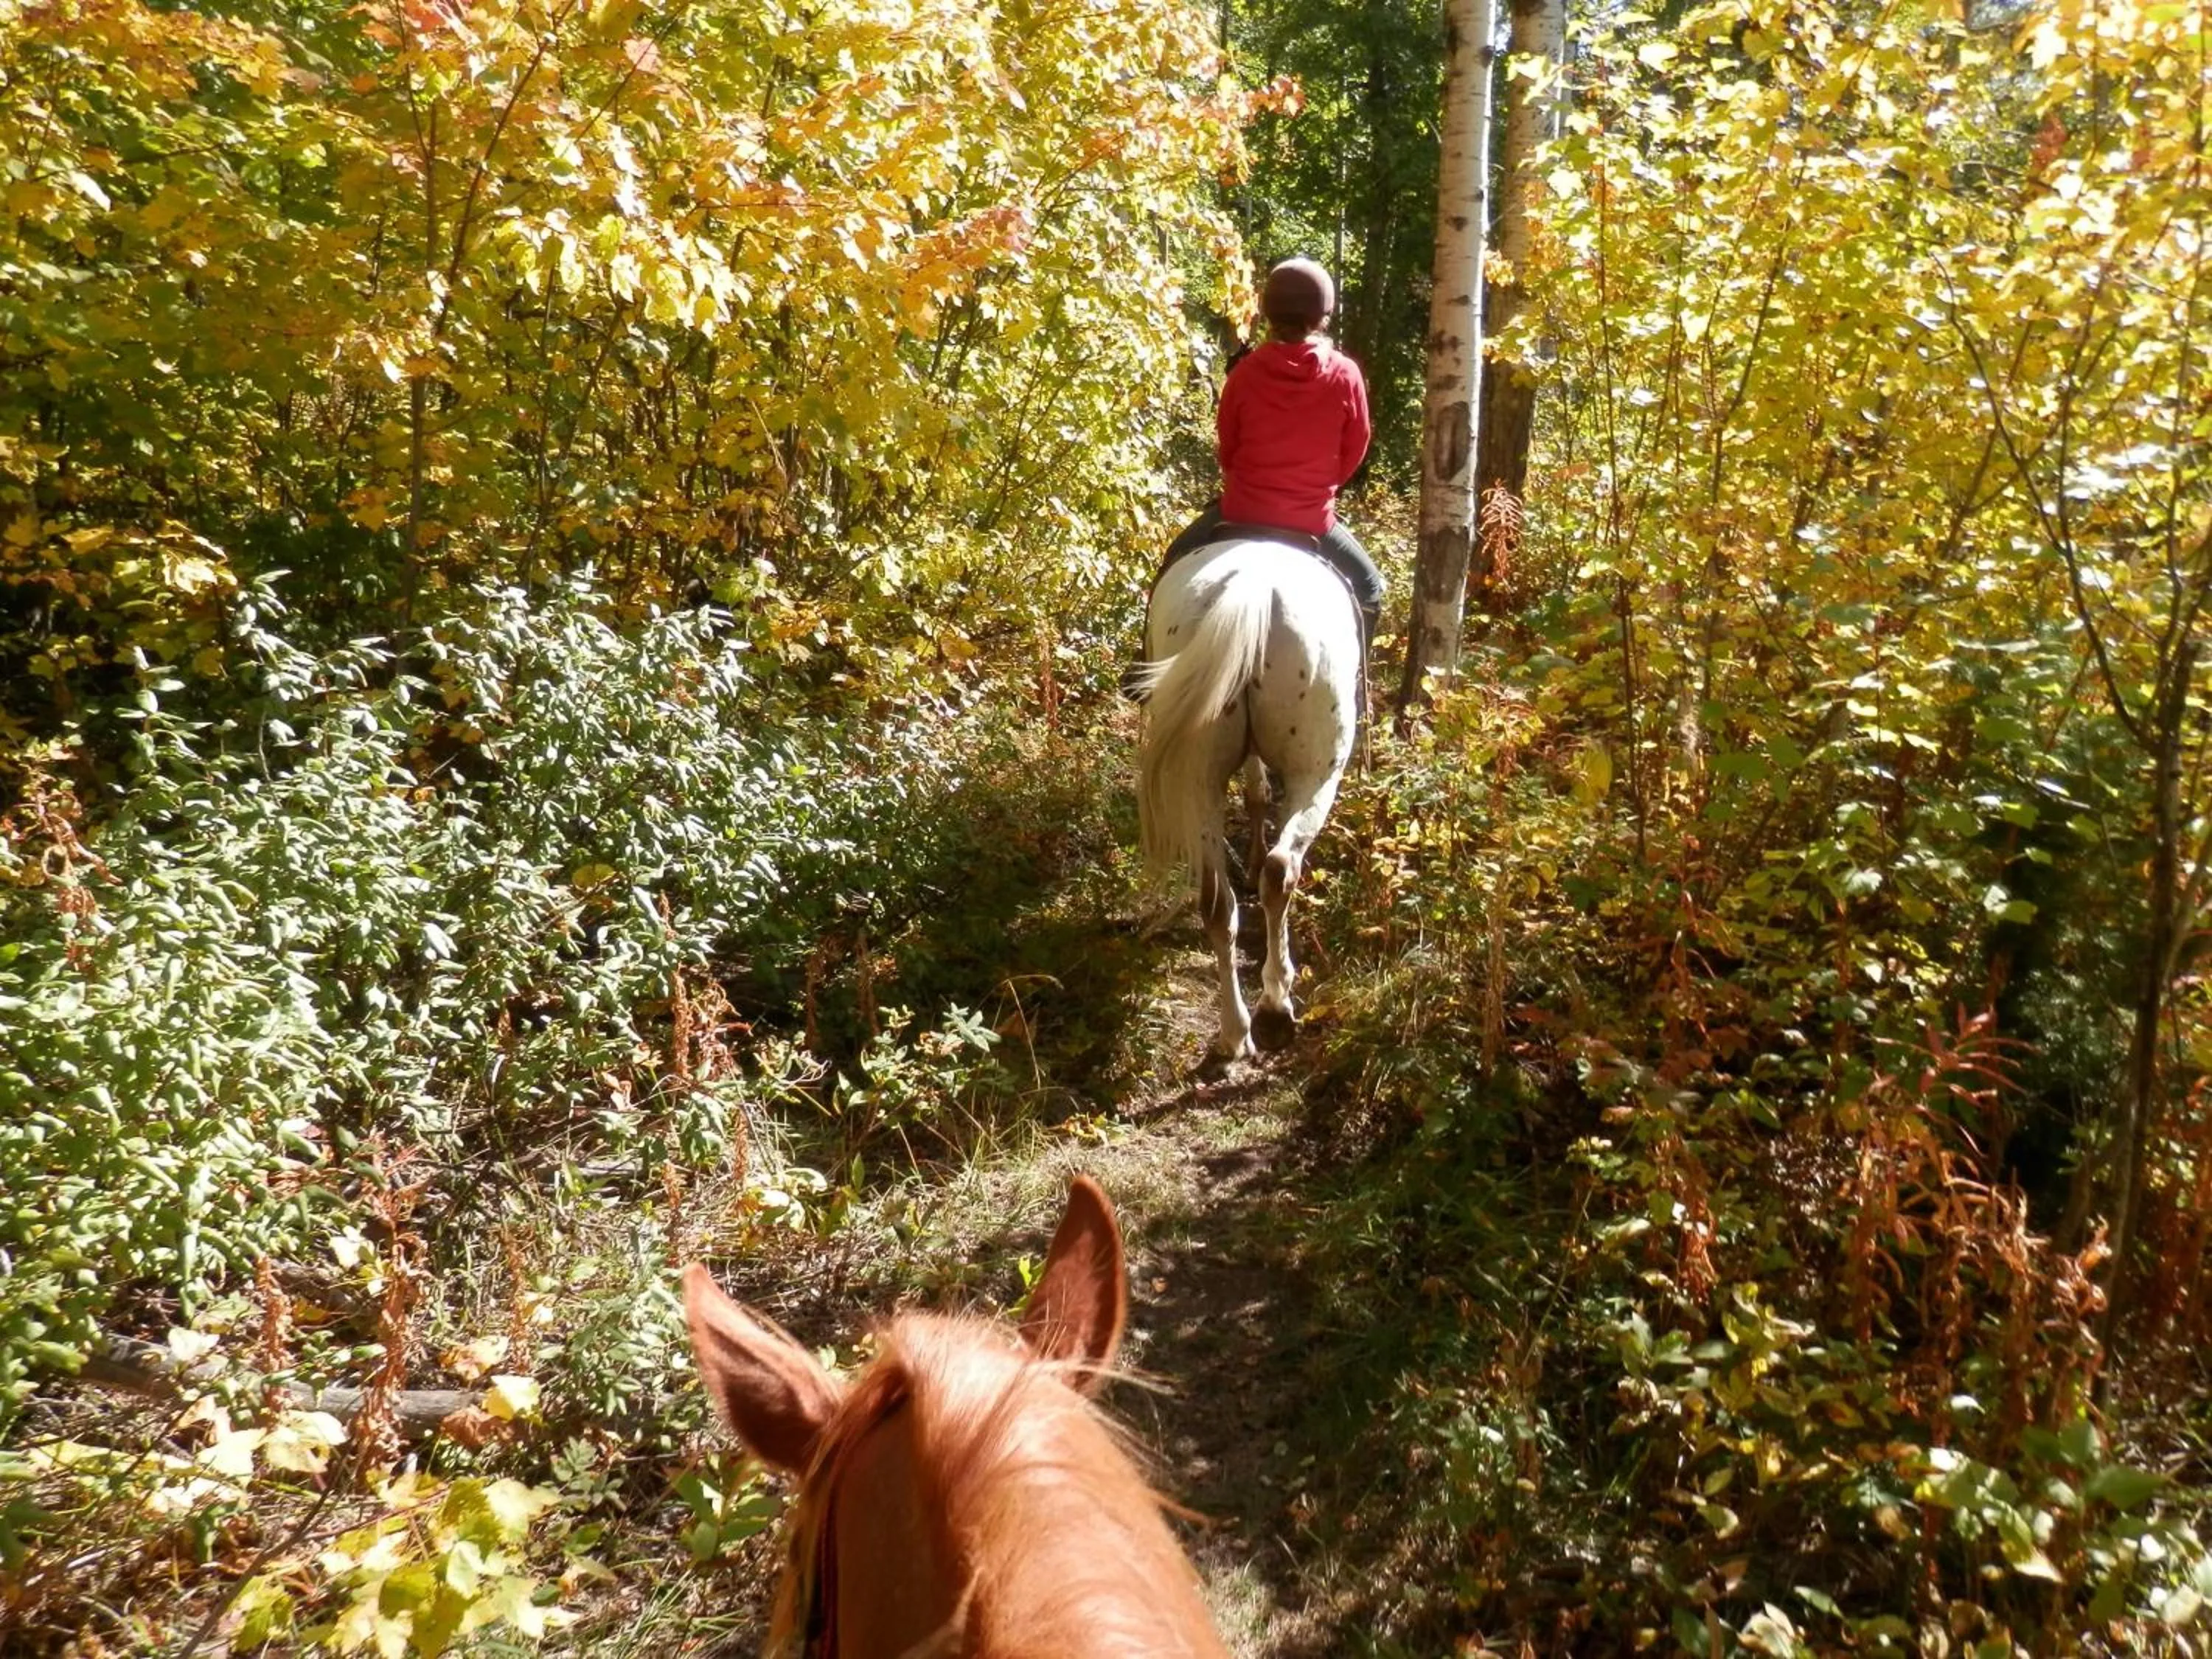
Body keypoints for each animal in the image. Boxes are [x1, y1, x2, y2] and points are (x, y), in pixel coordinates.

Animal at [1135, 537, 1361, 1058]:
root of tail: (1256, 594)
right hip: (1319, 772)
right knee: (1281, 872)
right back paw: (1276, 1004)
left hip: (1196, 775)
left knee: (1218, 901)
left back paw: (1235, 1032)